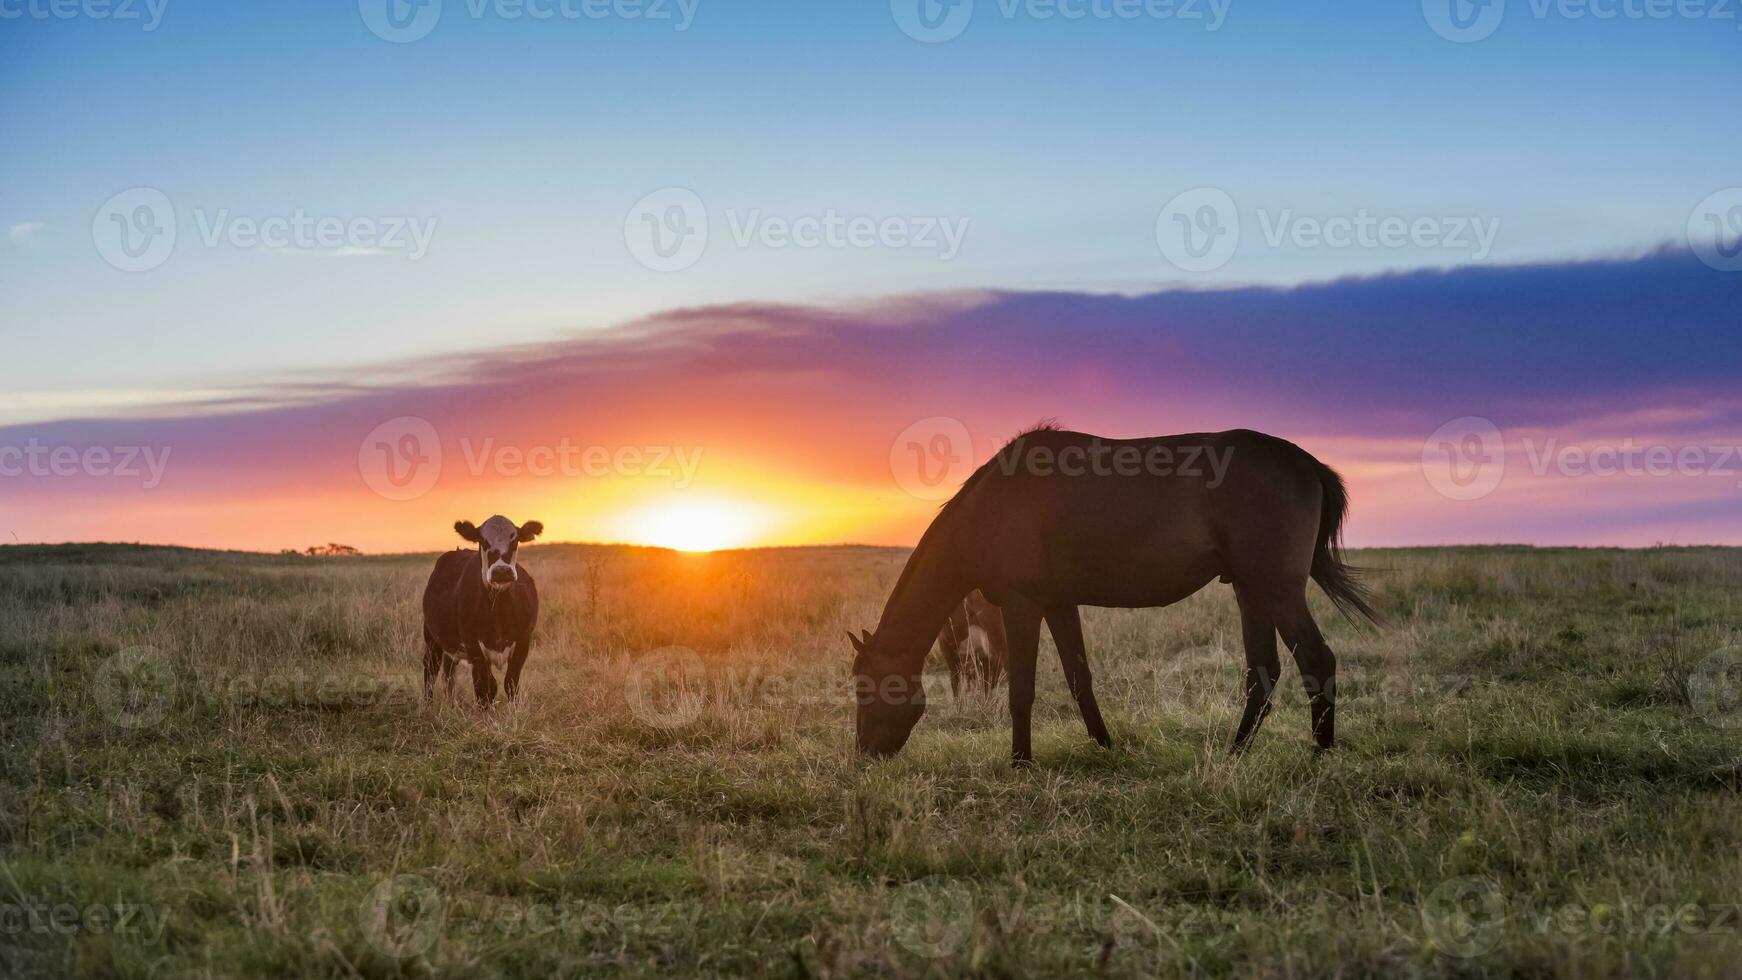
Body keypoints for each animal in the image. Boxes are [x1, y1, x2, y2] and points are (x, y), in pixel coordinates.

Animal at [418, 515, 540, 706]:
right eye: (483, 541)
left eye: (515, 540)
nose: (501, 571)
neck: (499, 608)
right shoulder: (473, 646)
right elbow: (485, 687)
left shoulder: (523, 642)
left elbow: (510, 683)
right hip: (431, 637)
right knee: (431, 668)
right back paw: (429, 705)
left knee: (449, 673)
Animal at [850, 428, 1379, 765]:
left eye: (865, 688)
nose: (866, 755)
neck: (990, 506)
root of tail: (1308, 464)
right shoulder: (1058, 604)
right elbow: (1079, 679)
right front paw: (1105, 746)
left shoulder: (1022, 606)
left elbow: (1022, 690)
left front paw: (1021, 762)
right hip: (1251, 592)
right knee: (1262, 675)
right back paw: (1234, 754)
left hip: (1276, 590)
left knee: (1317, 659)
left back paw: (1319, 755)